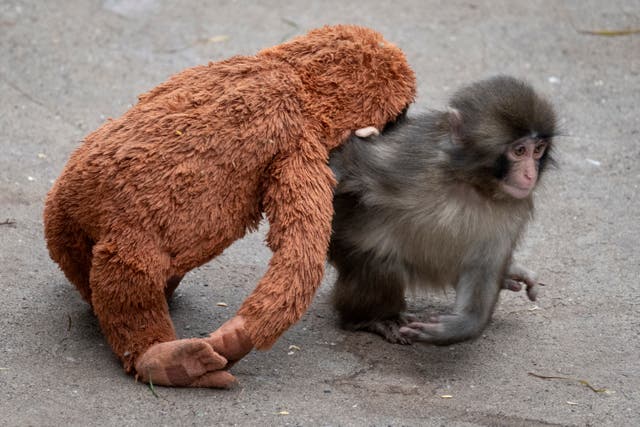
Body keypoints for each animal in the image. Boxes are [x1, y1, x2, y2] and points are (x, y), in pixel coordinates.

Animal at [328, 75, 556, 345]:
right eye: (519, 151)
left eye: (538, 150)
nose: (530, 174)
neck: (472, 185)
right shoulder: (404, 162)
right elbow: (349, 162)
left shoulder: (513, 211)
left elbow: (484, 266)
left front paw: (459, 326)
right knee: (380, 263)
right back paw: (371, 319)